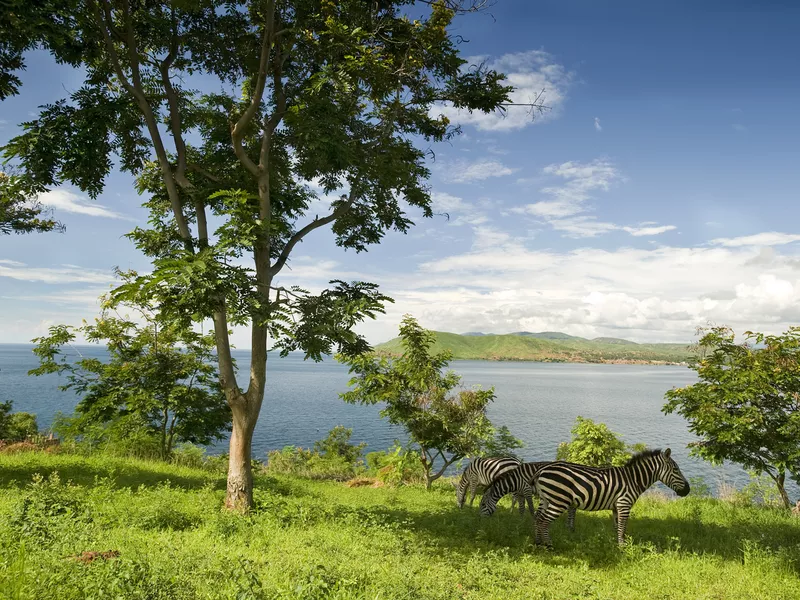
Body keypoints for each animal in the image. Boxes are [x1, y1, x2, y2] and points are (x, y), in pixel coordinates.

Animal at [532, 446, 688, 548]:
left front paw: (617, 544)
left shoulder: (616, 507)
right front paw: (623, 548)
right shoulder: (624, 504)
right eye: (676, 469)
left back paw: (539, 542)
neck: (633, 479)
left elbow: (617, 527)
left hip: (545, 499)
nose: (688, 490)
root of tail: (542, 470)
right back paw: (549, 545)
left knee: (538, 518)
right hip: (559, 501)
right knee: (544, 521)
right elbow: (622, 527)